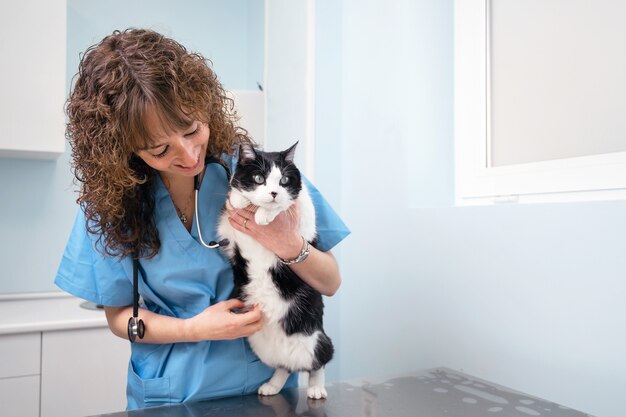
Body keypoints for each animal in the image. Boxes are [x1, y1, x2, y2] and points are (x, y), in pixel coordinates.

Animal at [216, 141, 332, 398]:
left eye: (285, 180)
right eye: (259, 178)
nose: (273, 193)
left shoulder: (304, 213)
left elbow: (287, 205)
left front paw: (265, 214)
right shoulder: (228, 229)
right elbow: (233, 198)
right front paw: (240, 200)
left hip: (316, 338)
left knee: (319, 361)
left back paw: (316, 387)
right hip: (261, 345)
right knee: (284, 366)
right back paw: (272, 385)